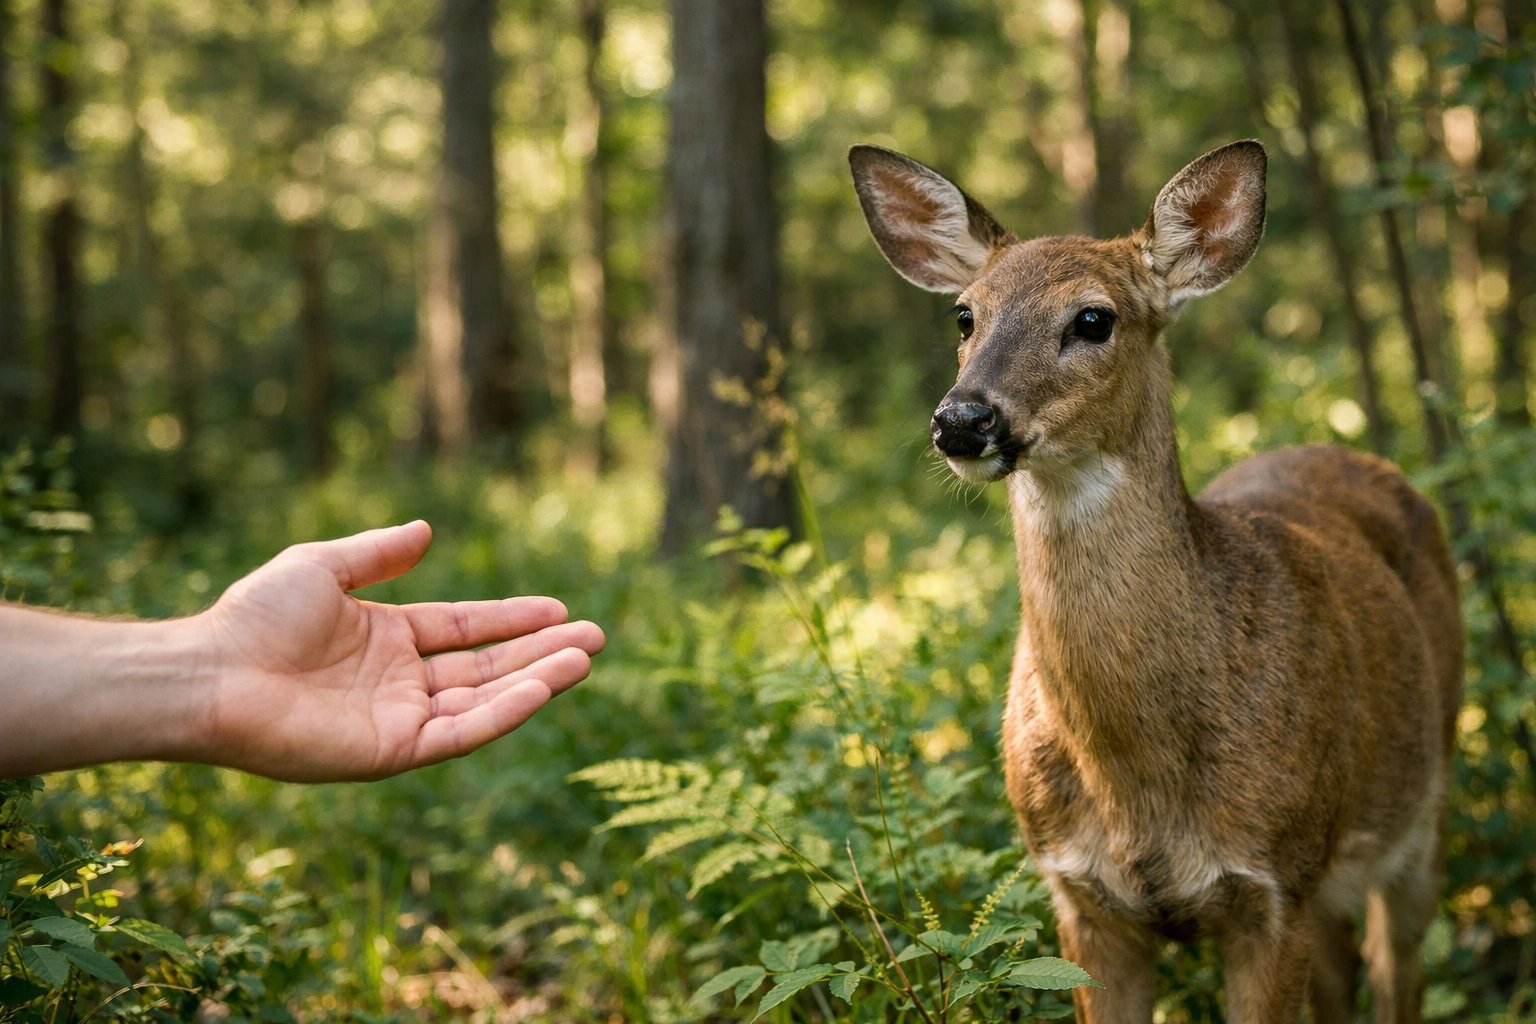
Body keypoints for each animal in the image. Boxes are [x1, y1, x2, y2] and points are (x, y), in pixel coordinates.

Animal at [848, 139, 1463, 1022]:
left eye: (1093, 319)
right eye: (964, 315)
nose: (963, 419)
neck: (1135, 779)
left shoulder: (1275, 884)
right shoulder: (1081, 897)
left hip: (1423, 800)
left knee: (1399, 970)